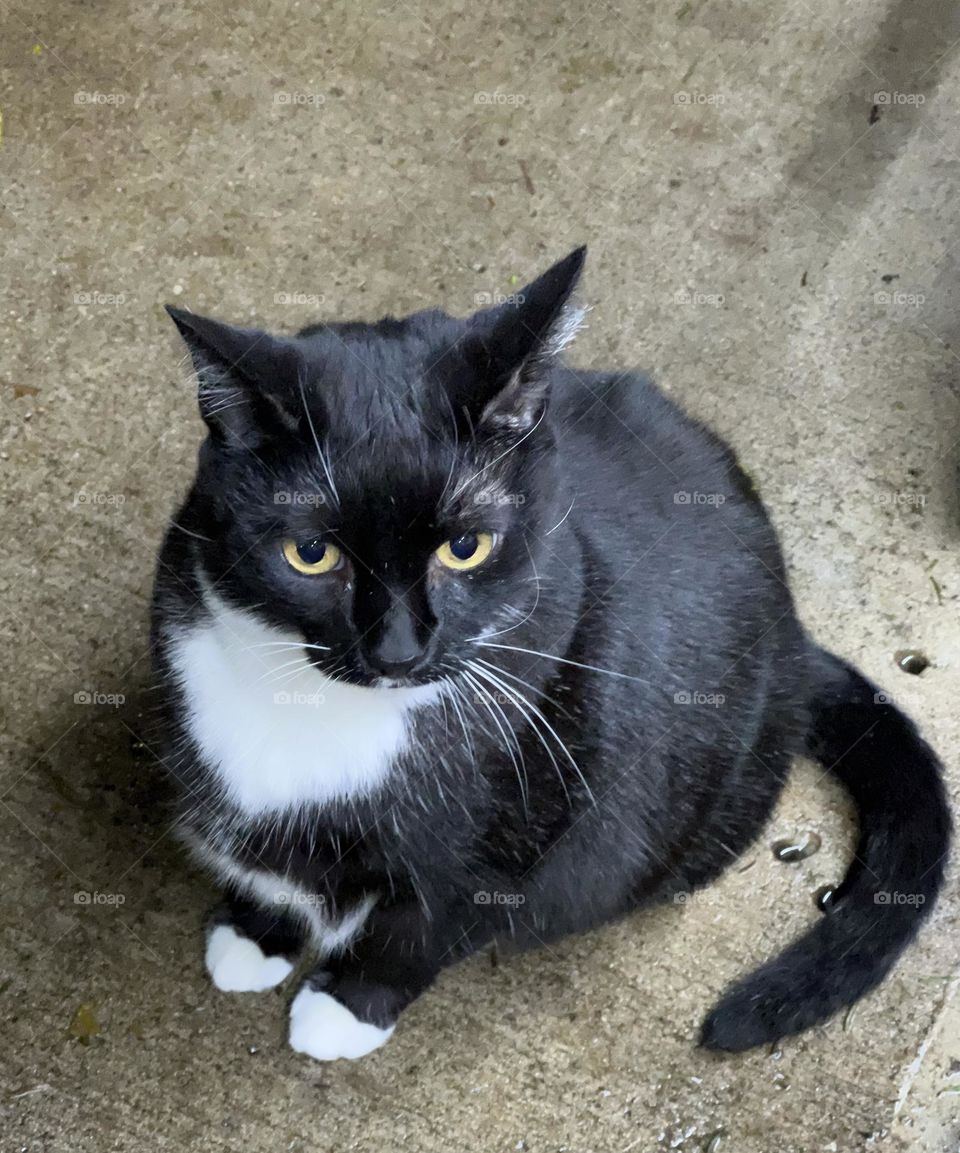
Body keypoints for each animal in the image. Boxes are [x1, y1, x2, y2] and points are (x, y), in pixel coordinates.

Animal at [152, 250, 949, 1060]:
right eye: (310, 554)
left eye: (466, 546)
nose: (399, 651)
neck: (327, 715)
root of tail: (795, 631)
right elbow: (265, 865)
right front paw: (255, 935)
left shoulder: (539, 803)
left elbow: (423, 927)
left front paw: (347, 1007)